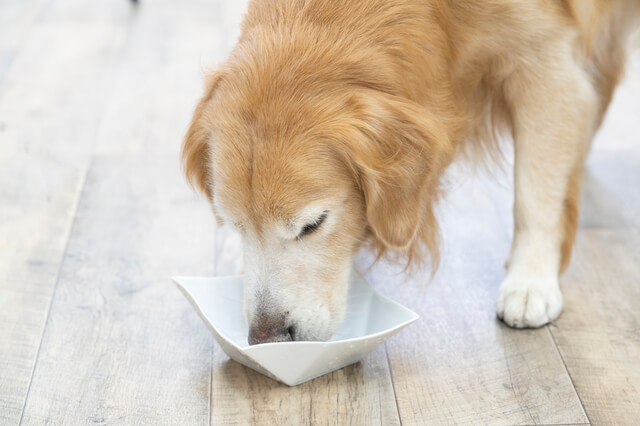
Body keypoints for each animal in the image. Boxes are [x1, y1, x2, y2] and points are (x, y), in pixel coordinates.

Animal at [181, 0, 640, 344]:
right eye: (236, 227)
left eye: (313, 225)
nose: (266, 336)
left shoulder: (545, 59)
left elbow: (534, 193)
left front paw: (530, 280)